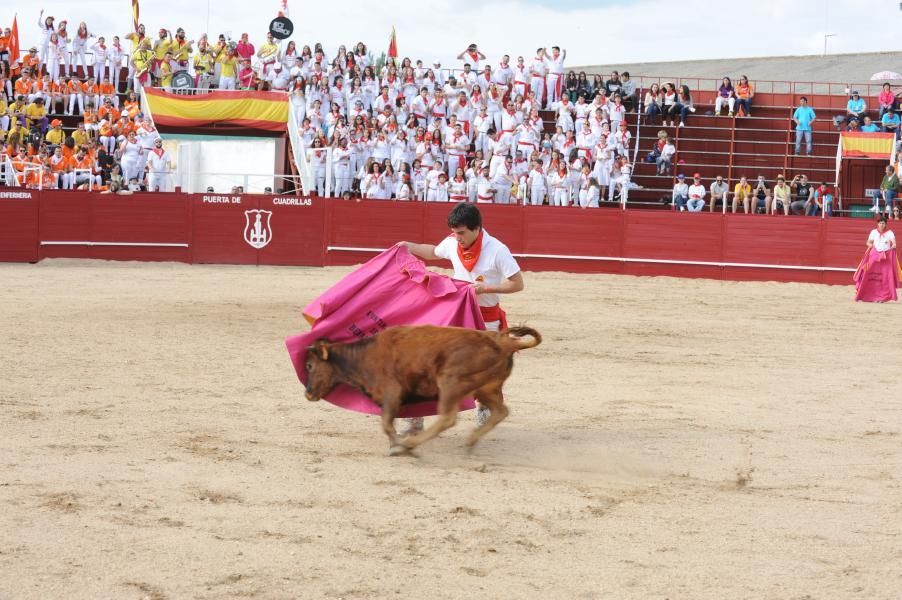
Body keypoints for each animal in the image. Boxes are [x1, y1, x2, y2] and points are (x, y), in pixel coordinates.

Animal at [304, 326, 544, 458]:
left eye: (309, 366)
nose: (308, 394)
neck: (363, 356)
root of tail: (505, 343)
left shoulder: (392, 392)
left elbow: (386, 423)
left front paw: (399, 448)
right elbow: (388, 424)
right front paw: (397, 445)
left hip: (450, 382)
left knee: (447, 418)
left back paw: (411, 444)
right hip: (486, 389)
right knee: (501, 411)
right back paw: (471, 441)